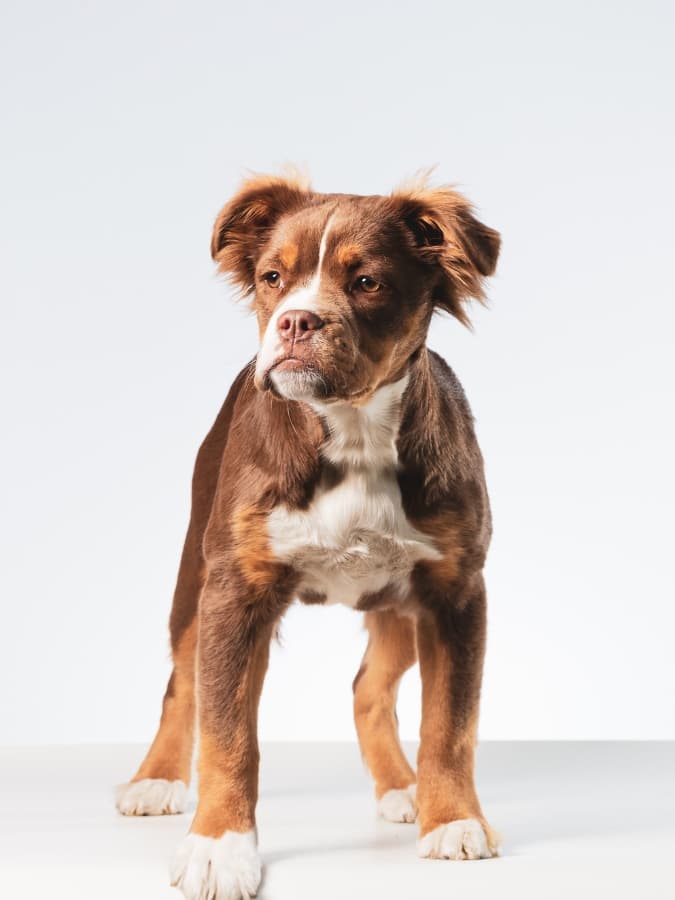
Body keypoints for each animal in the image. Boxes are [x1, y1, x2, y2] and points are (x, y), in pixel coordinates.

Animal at [116, 171, 500, 900]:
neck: (350, 431)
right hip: (196, 580)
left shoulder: (454, 590)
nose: (297, 320)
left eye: (367, 282)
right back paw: (156, 778)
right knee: (183, 685)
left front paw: (453, 821)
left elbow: (451, 722)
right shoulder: (234, 591)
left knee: (369, 689)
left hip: (396, 608)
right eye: (272, 277)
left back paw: (402, 788)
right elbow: (228, 733)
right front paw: (219, 848)